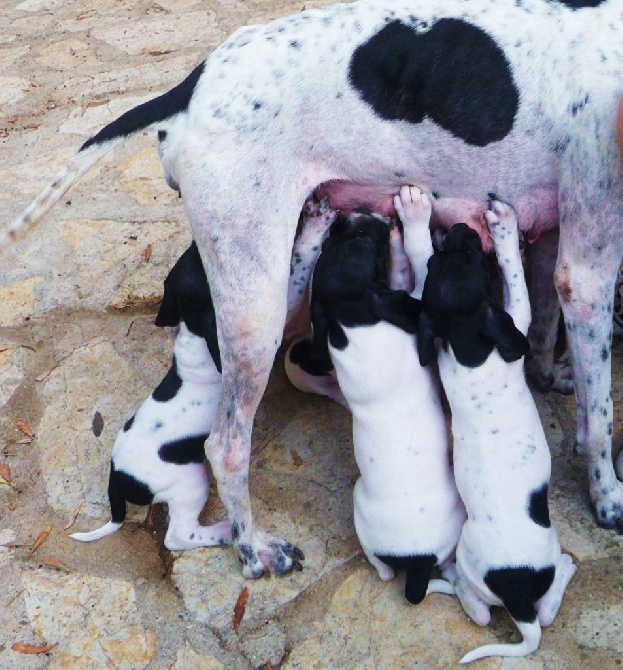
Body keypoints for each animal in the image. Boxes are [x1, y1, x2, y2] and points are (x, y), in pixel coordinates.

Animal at [70, 244, 232, 552]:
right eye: (201, 263)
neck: (193, 329)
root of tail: (116, 480)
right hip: (190, 482)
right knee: (179, 535)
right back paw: (227, 531)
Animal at [310, 186, 466, 608]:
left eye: (340, 237)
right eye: (366, 239)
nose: (353, 214)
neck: (348, 316)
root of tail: (417, 560)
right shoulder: (413, 305)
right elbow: (418, 263)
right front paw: (411, 219)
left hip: (362, 515)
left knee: (381, 569)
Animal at [402, 202, 576, 664]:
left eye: (444, 259)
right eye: (479, 262)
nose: (462, 227)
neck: (464, 336)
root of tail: (516, 595)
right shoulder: (514, 316)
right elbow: (516, 281)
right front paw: (503, 229)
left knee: (501, 614)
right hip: (492, 555)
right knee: (511, 609)